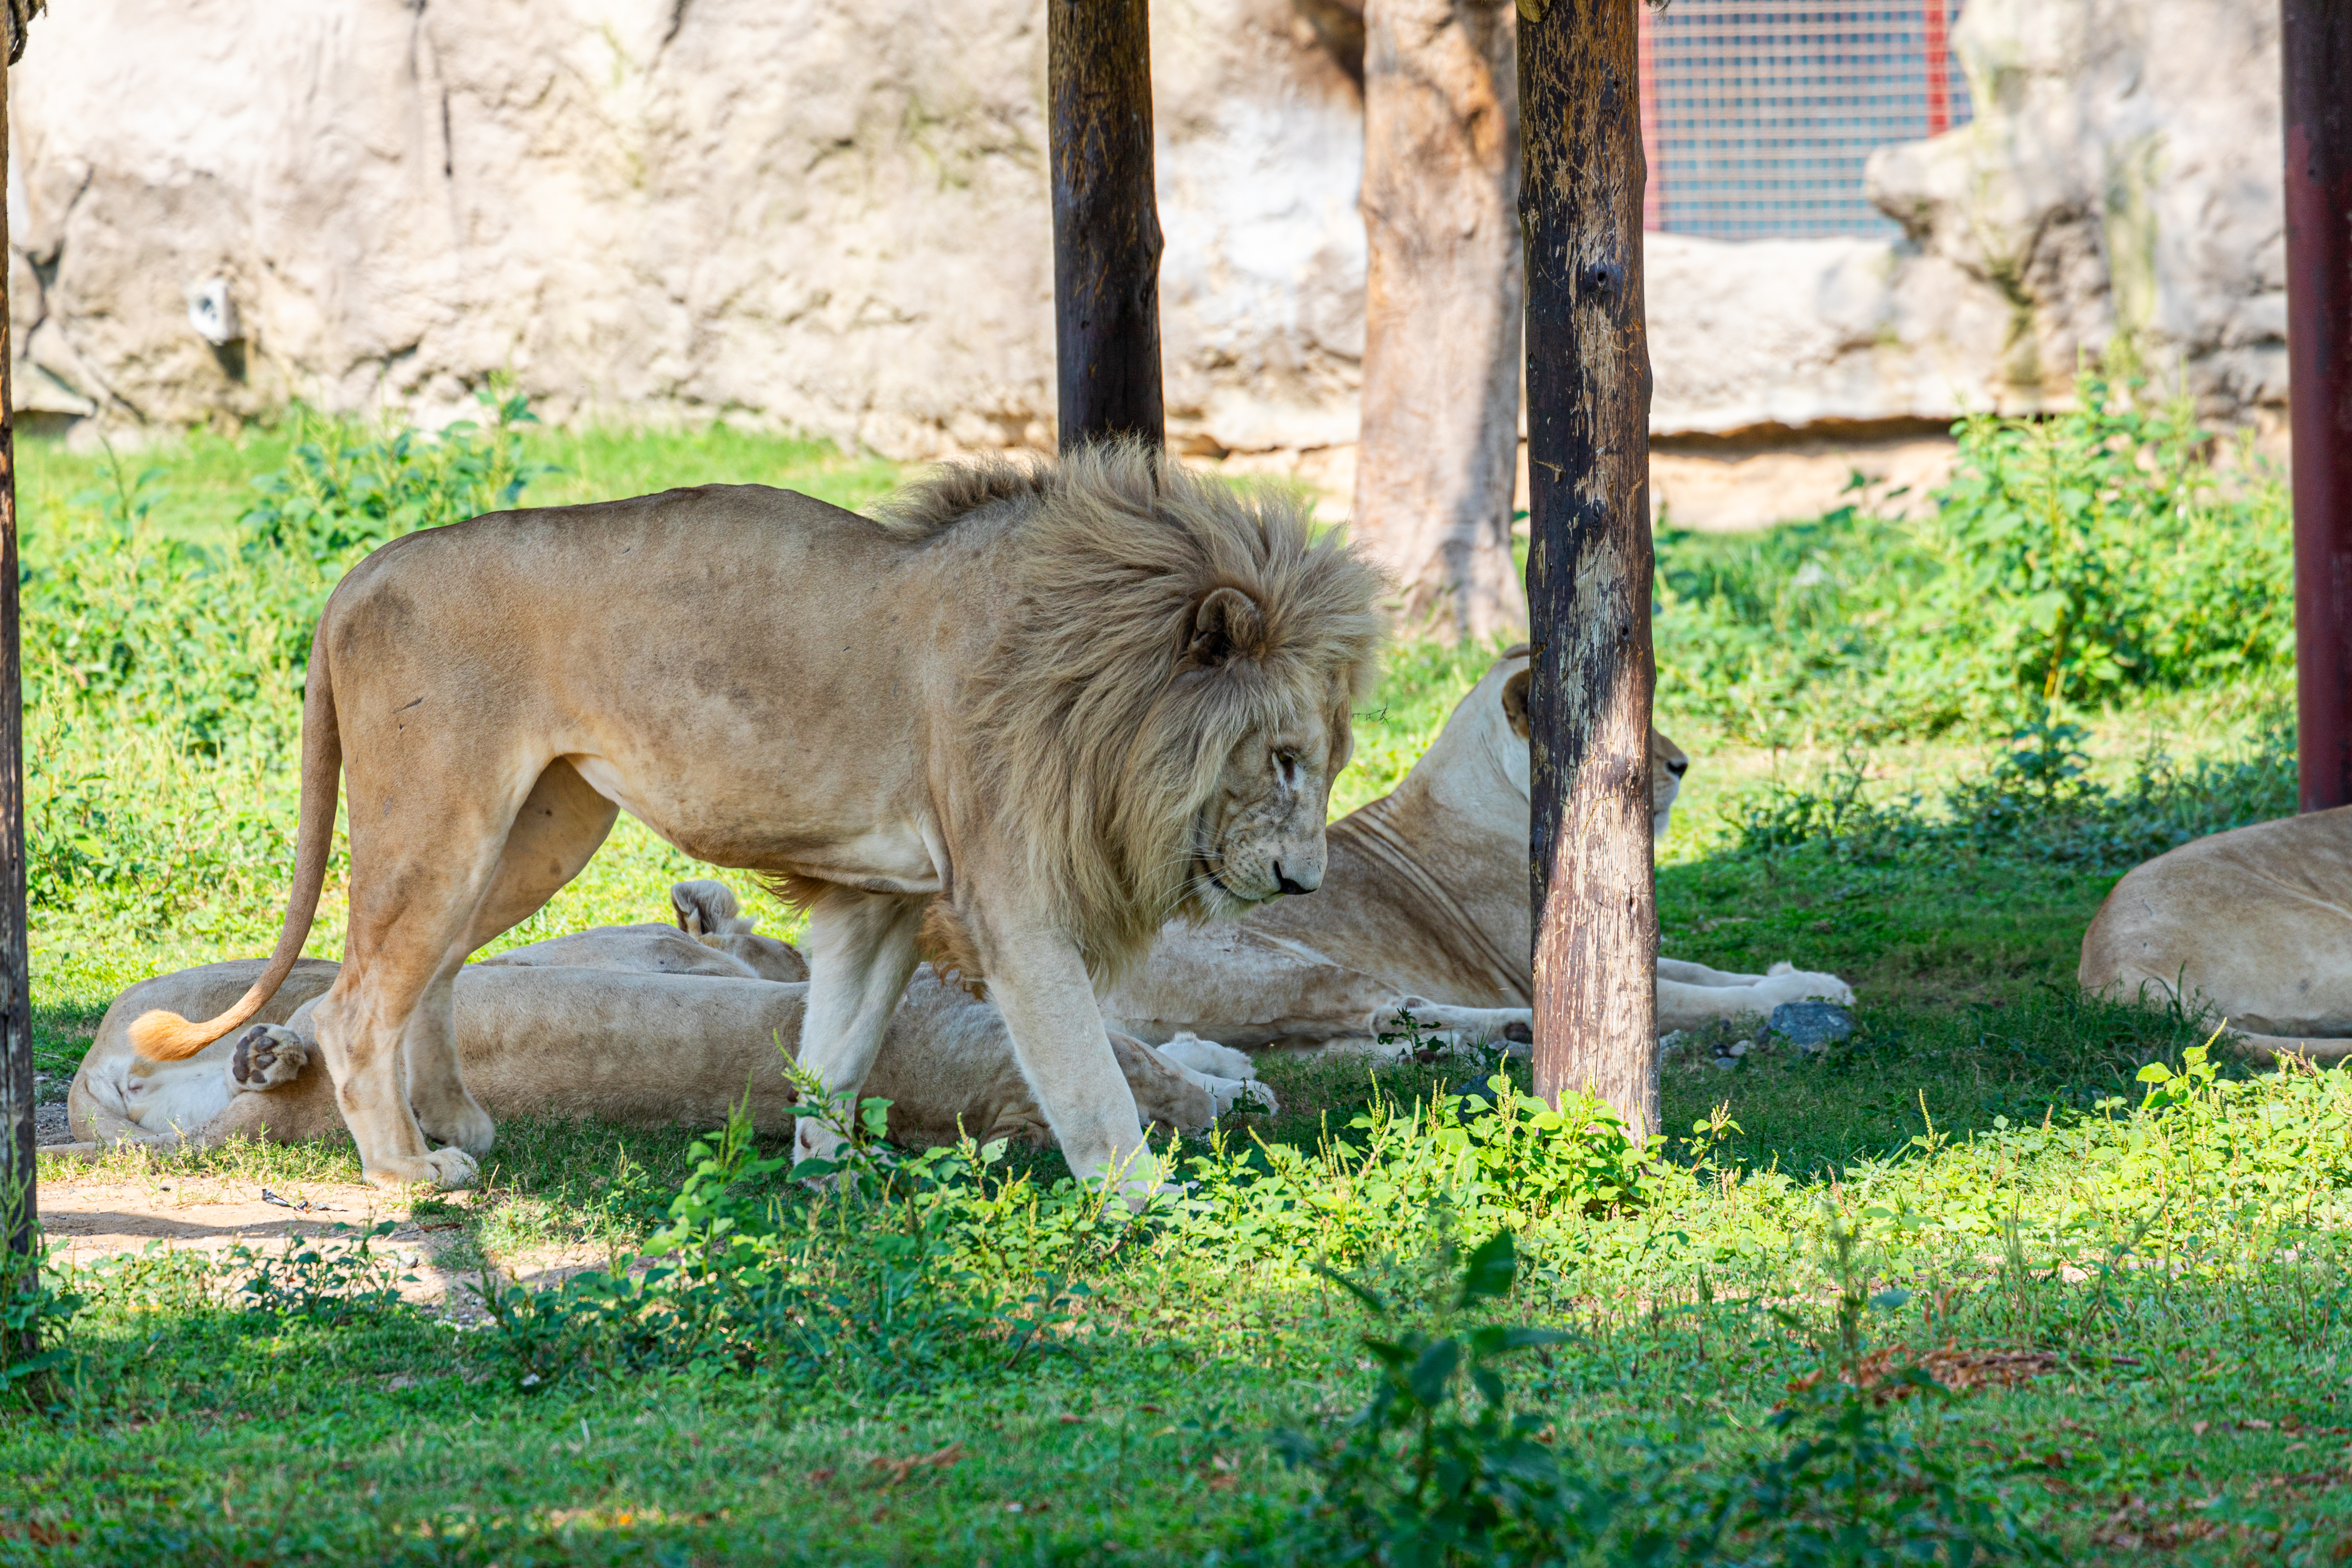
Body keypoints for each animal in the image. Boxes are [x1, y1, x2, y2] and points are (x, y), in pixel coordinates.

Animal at [125, 445, 1384, 1189]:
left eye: (1322, 765)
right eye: (1283, 761)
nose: (1310, 885)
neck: (1094, 675)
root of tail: (361, 569)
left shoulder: (883, 899)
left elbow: (837, 1052)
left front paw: (831, 1183)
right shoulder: (1011, 906)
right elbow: (1087, 1083)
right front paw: (1148, 1208)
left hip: (538, 829)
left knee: (421, 975)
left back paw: (456, 1125)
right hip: (441, 812)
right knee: (355, 1006)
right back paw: (407, 1177)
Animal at [1100, 647, 1855, 1052]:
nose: (1682, 765)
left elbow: (1711, 971)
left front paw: (1803, 975)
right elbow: (1707, 999)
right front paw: (1808, 991)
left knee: (1361, 1032)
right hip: (1281, 966)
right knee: (1389, 1008)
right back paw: (1517, 1029)